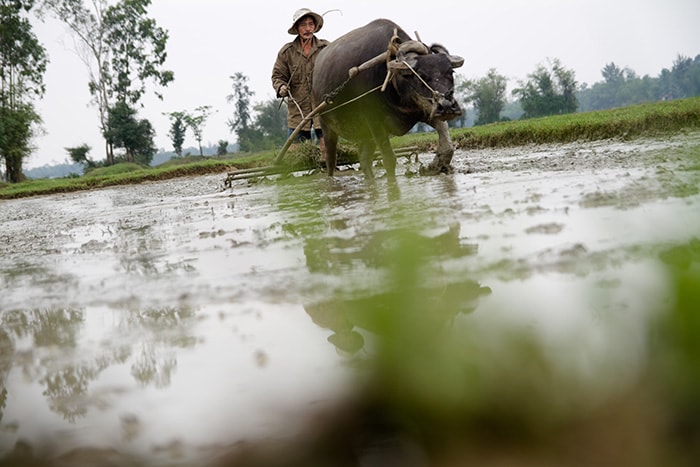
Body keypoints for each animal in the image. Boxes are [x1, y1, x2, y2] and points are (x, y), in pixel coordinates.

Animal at [314, 19, 464, 178]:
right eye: (420, 75)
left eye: (451, 72)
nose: (447, 106)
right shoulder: (375, 122)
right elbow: (389, 159)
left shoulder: (425, 109)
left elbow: (447, 145)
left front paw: (434, 166)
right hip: (326, 126)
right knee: (331, 161)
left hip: (364, 133)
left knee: (364, 160)